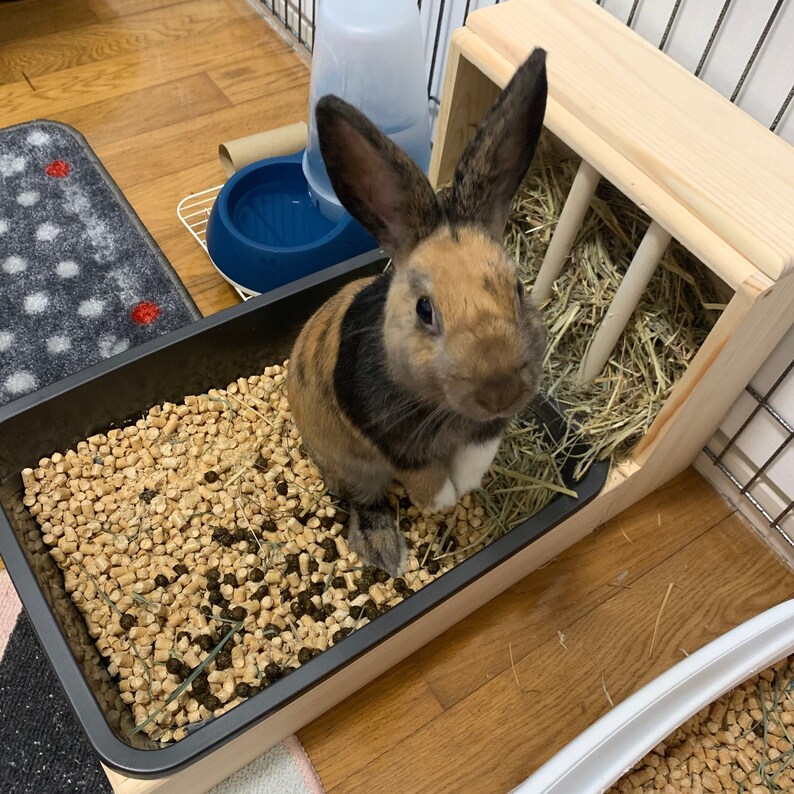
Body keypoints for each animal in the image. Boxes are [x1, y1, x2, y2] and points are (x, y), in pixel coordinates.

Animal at [287, 49, 548, 576]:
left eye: (518, 287)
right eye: (424, 309)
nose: (501, 391)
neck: (444, 407)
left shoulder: (485, 432)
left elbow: (475, 455)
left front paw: (466, 485)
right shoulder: (390, 441)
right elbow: (422, 476)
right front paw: (442, 500)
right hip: (350, 465)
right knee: (363, 500)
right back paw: (386, 551)